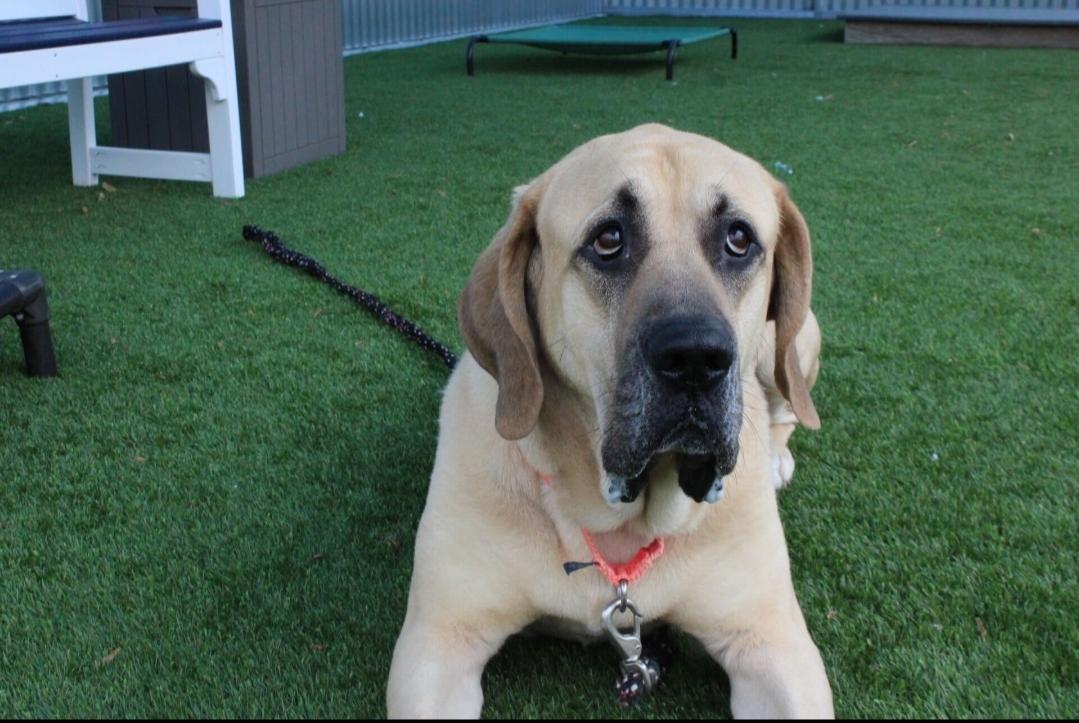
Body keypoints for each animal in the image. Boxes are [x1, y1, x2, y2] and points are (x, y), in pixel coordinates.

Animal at [387, 124, 832, 719]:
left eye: (739, 239)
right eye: (608, 239)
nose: (696, 358)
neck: (614, 522)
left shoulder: (770, 640)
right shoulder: (438, 641)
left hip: (792, 341)